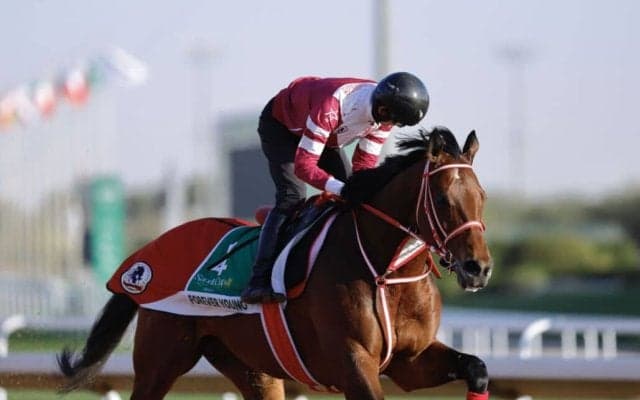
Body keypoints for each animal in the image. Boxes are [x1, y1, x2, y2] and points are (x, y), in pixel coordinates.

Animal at [58, 126, 492, 400]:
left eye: (482, 196)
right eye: (441, 199)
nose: (478, 267)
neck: (385, 271)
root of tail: (141, 258)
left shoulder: (409, 360)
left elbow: (477, 367)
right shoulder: (353, 362)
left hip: (252, 369)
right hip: (160, 360)